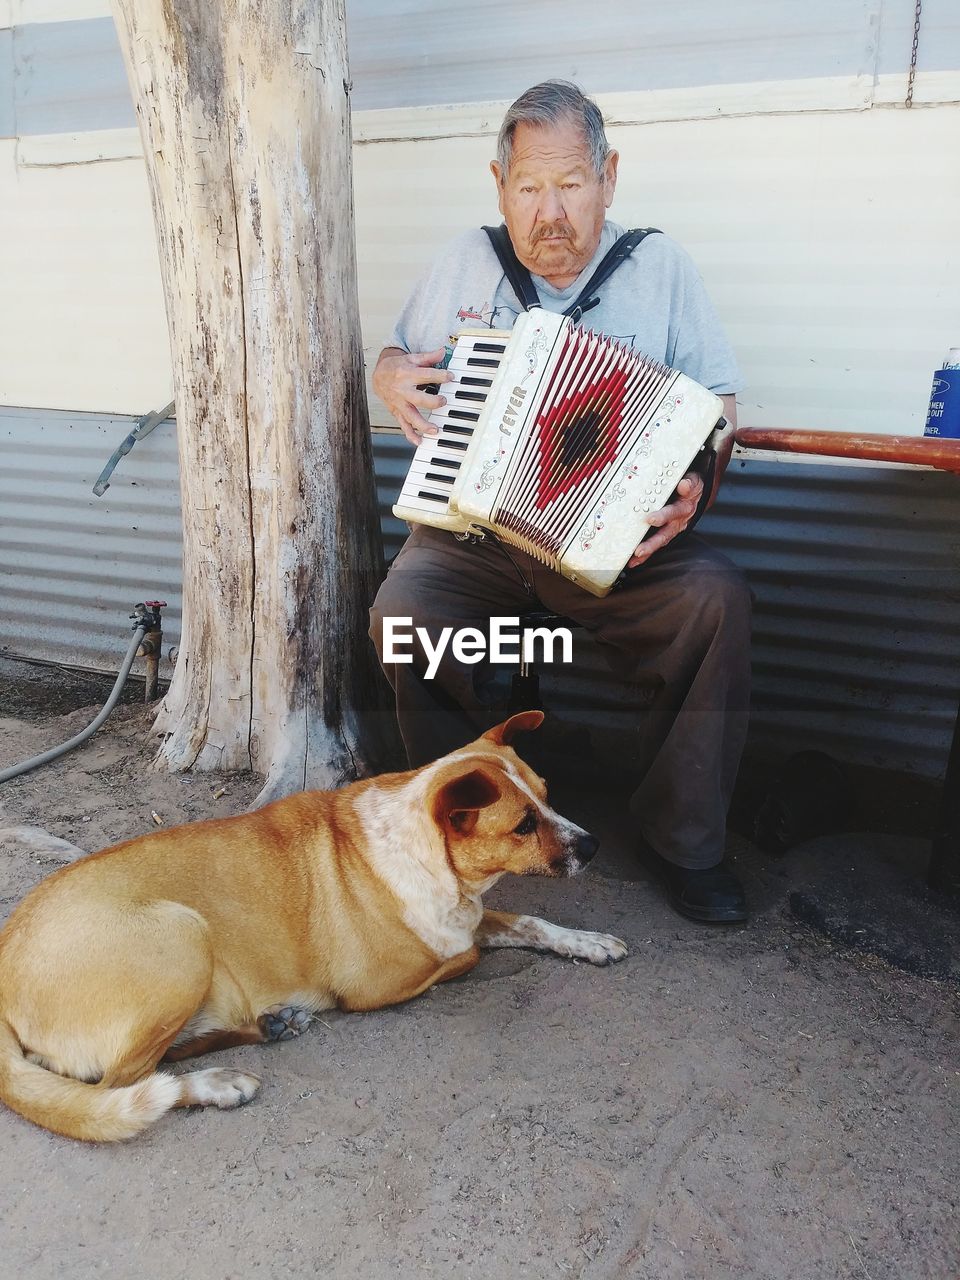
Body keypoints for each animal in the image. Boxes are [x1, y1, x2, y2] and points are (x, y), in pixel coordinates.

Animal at [0, 716, 624, 1146]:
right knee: (119, 1086)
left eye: (548, 796)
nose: (595, 845)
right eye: (523, 825)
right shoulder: (378, 985)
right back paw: (215, 1081)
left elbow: (525, 922)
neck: (428, 854)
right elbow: (468, 954)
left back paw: (268, 1026)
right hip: (181, 937)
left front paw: (587, 943)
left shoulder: (465, 916)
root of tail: (5, 961)